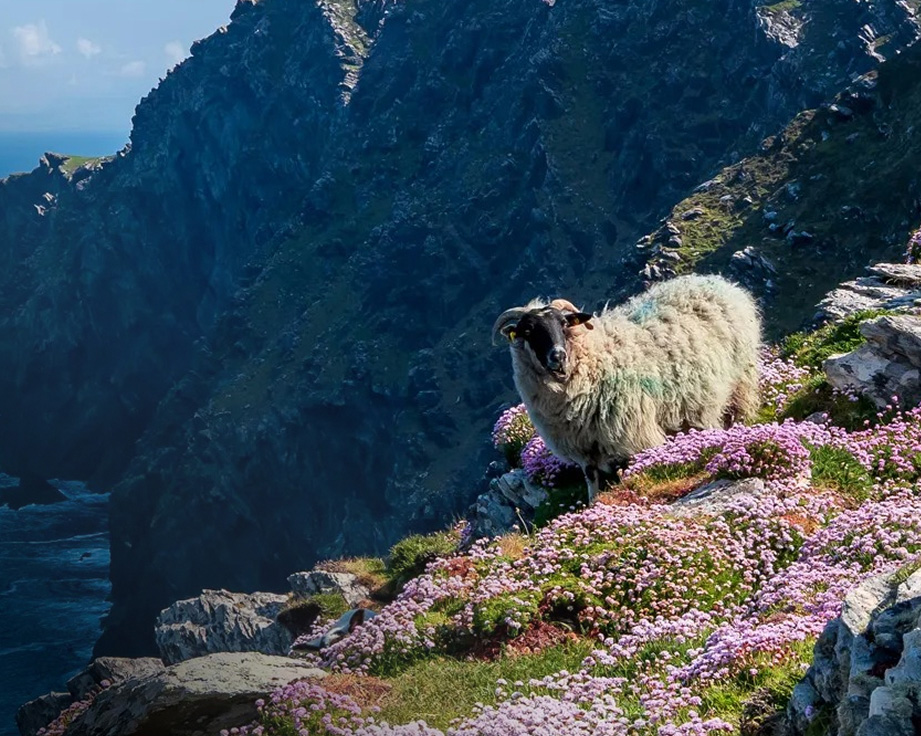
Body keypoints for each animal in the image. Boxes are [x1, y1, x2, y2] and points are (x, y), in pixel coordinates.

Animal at [492, 274, 761, 501]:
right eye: (529, 330)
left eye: (564, 324)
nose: (558, 356)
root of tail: (718, 281)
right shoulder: (582, 447)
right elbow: (591, 480)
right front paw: (594, 504)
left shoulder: (634, 432)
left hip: (741, 381)